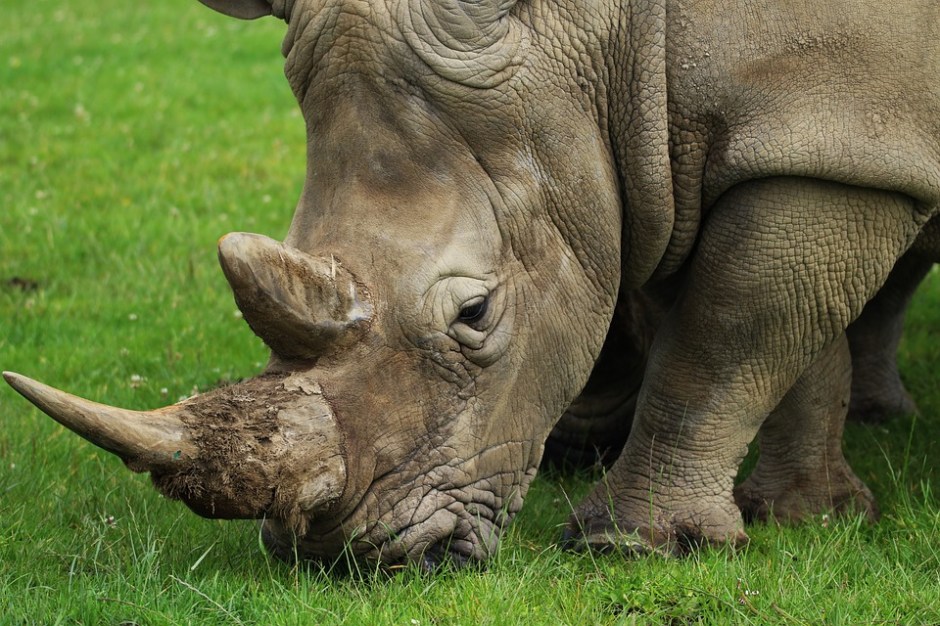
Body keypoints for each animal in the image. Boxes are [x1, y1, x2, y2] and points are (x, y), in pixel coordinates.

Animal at [6, 0, 940, 566]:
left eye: (477, 312)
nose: (347, 559)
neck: (611, 29)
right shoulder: (695, 149)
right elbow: (783, 327)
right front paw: (813, 517)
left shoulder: (823, 128)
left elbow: (727, 337)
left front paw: (636, 545)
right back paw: (880, 420)